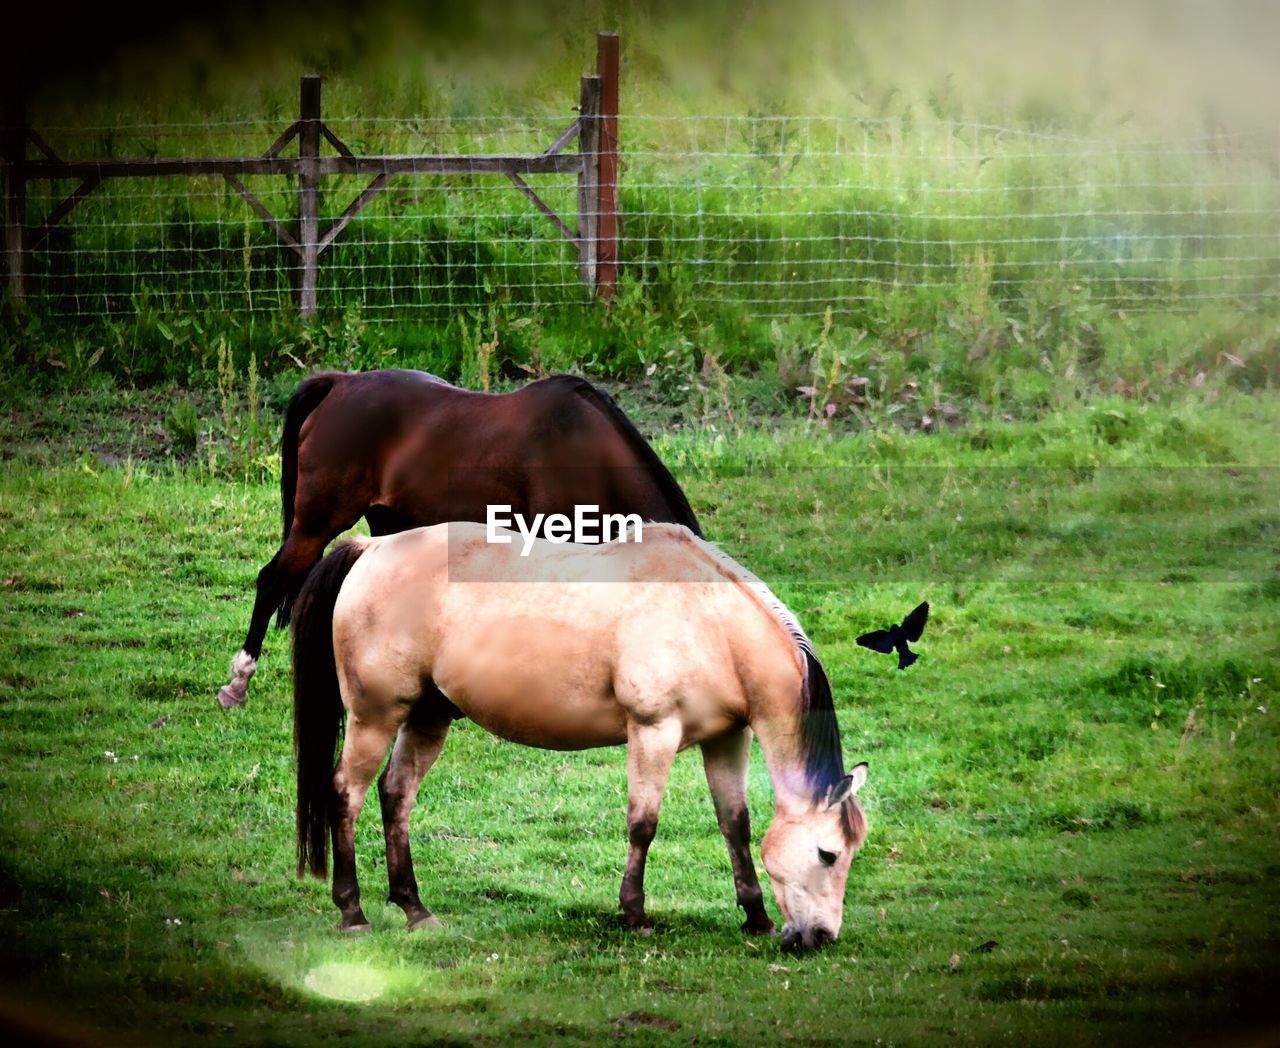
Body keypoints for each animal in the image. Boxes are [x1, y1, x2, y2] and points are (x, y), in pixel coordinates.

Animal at [291, 522, 870, 952]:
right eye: (828, 855)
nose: (821, 937)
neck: (711, 623)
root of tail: (371, 548)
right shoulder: (653, 732)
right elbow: (643, 825)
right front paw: (634, 914)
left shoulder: (727, 739)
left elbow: (736, 825)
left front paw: (755, 918)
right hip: (375, 717)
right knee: (346, 794)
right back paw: (353, 910)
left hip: (426, 718)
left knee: (396, 795)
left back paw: (414, 908)